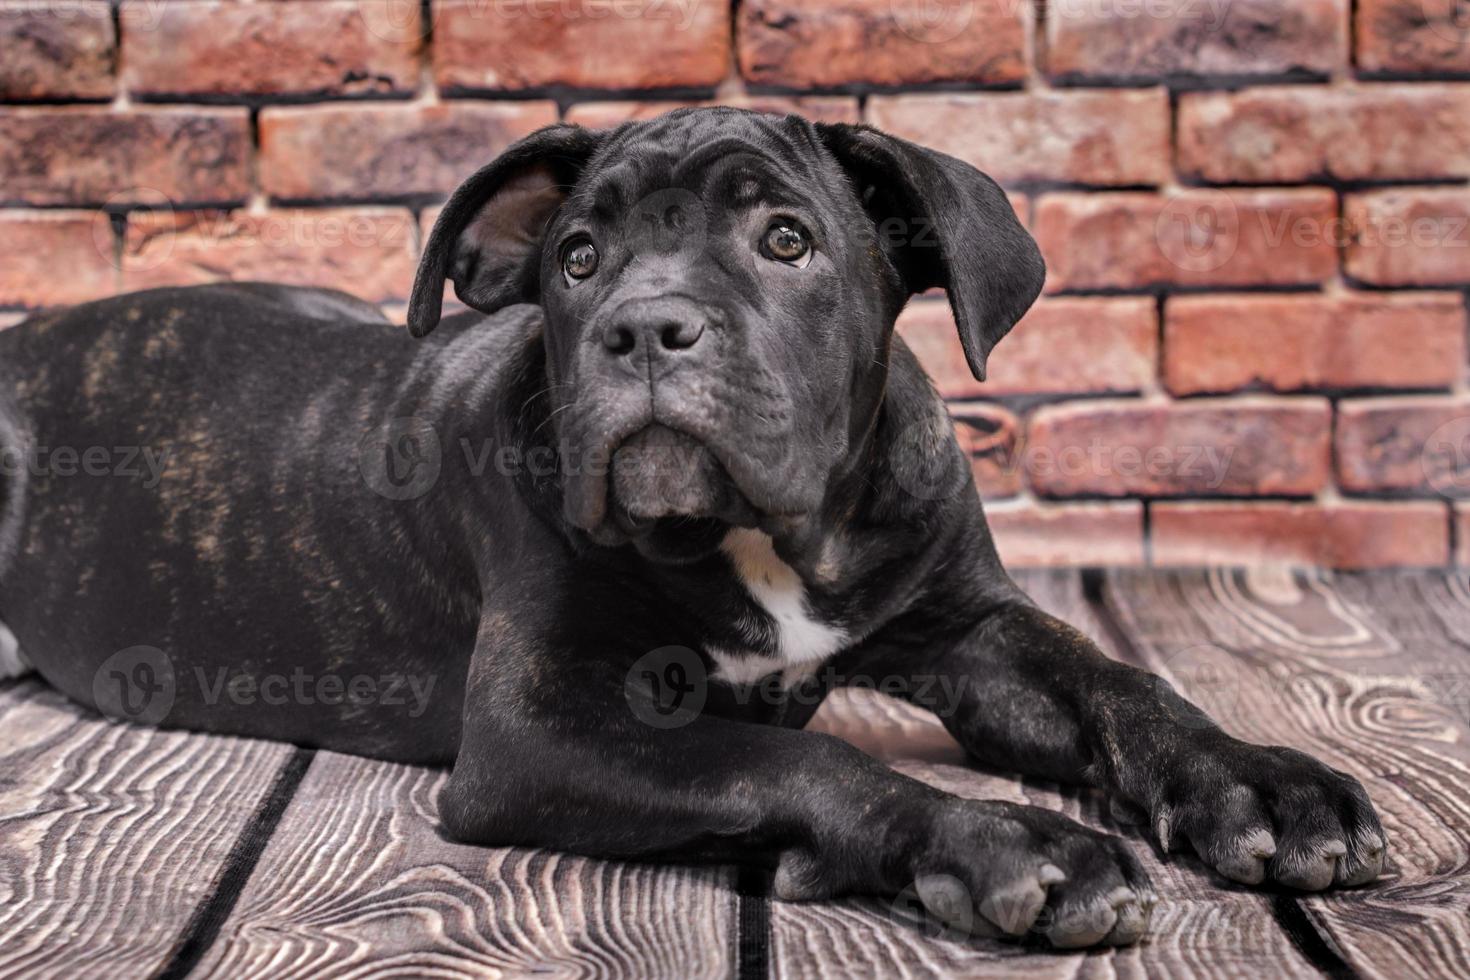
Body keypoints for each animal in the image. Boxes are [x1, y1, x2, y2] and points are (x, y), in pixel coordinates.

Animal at [0, 109, 1381, 952]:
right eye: (575, 259)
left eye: (788, 240)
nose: (645, 326)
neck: (768, 539)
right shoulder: (542, 724)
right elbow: (789, 756)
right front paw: (1005, 838)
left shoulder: (971, 629)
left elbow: (1114, 679)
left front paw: (1264, 778)